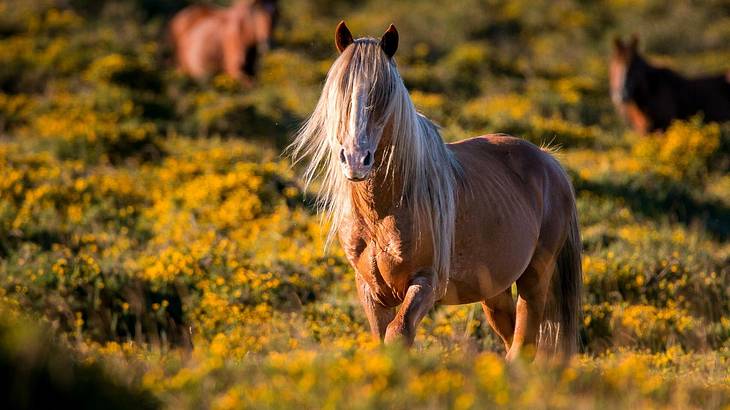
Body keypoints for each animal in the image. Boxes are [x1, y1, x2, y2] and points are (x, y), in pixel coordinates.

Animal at [288, 23, 580, 362]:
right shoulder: (371, 290)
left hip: (535, 278)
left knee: (524, 343)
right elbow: (381, 337)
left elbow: (398, 333)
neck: (383, 211)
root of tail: (549, 161)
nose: (356, 159)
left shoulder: (426, 283)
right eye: (341, 92)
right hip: (495, 291)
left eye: (383, 94)